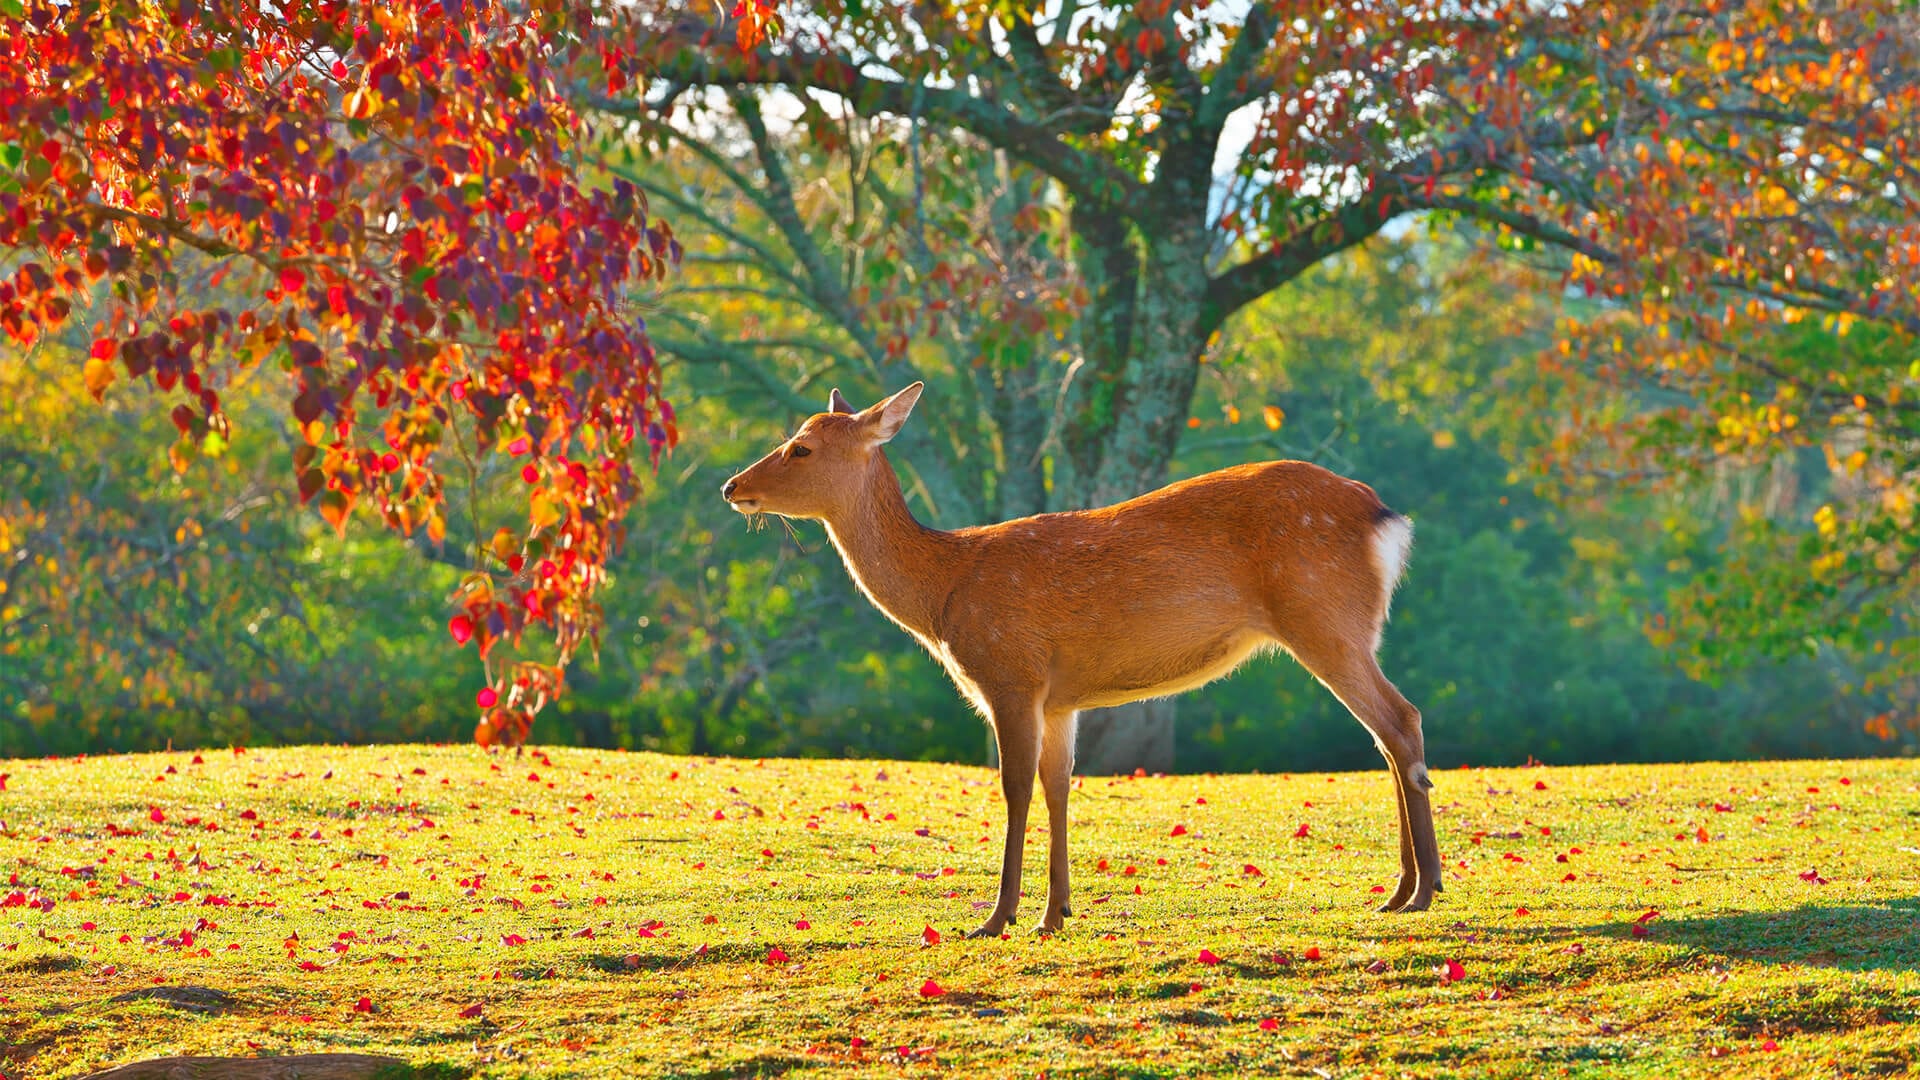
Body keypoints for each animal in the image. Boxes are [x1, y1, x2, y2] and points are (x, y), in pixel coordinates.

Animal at [721, 380, 1443, 933]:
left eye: (802, 446)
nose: (732, 486)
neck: (943, 591)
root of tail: (1387, 518)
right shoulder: (1061, 698)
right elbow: (1058, 785)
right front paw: (1056, 913)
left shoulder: (1011, 673)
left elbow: (1014, 787)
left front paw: (998, 917)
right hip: (1351, 626)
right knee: (1385, 736)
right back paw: (1399, 890)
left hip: (1322, 617)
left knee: (1400, 720)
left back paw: (1424, 890)